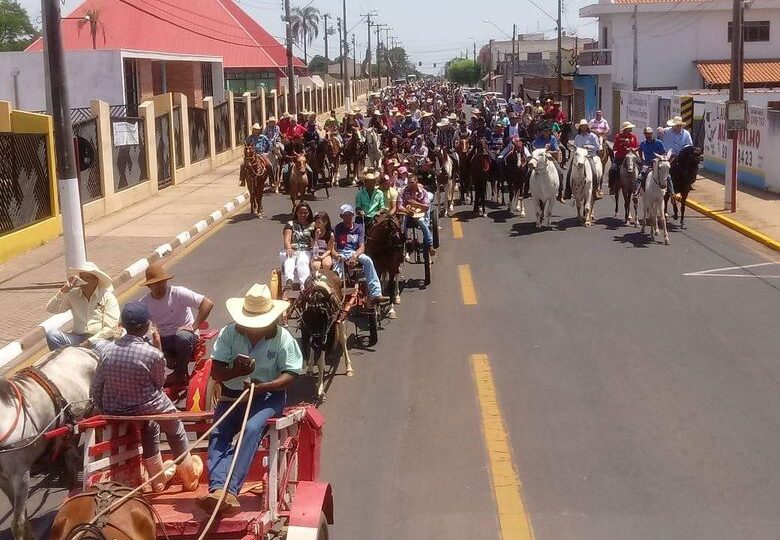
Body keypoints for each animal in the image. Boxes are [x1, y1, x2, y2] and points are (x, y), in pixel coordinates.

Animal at [0, 348, 97, 536]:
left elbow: (18, 523)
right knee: (71, 459)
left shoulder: (21, 476)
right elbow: (24, 519)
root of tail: (81, 349)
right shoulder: (4, 480)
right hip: (69, 430)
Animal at [298, 268, 354, 398]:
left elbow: (321, 363)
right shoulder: (310, 334)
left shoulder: (326, 335)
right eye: (306, 319)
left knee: (343, 339)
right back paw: (309, 368)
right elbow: (315, 354)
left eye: (323, 317)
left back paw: (348, 368)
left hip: (341, 316)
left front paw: (320, 389)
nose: (318, 342)